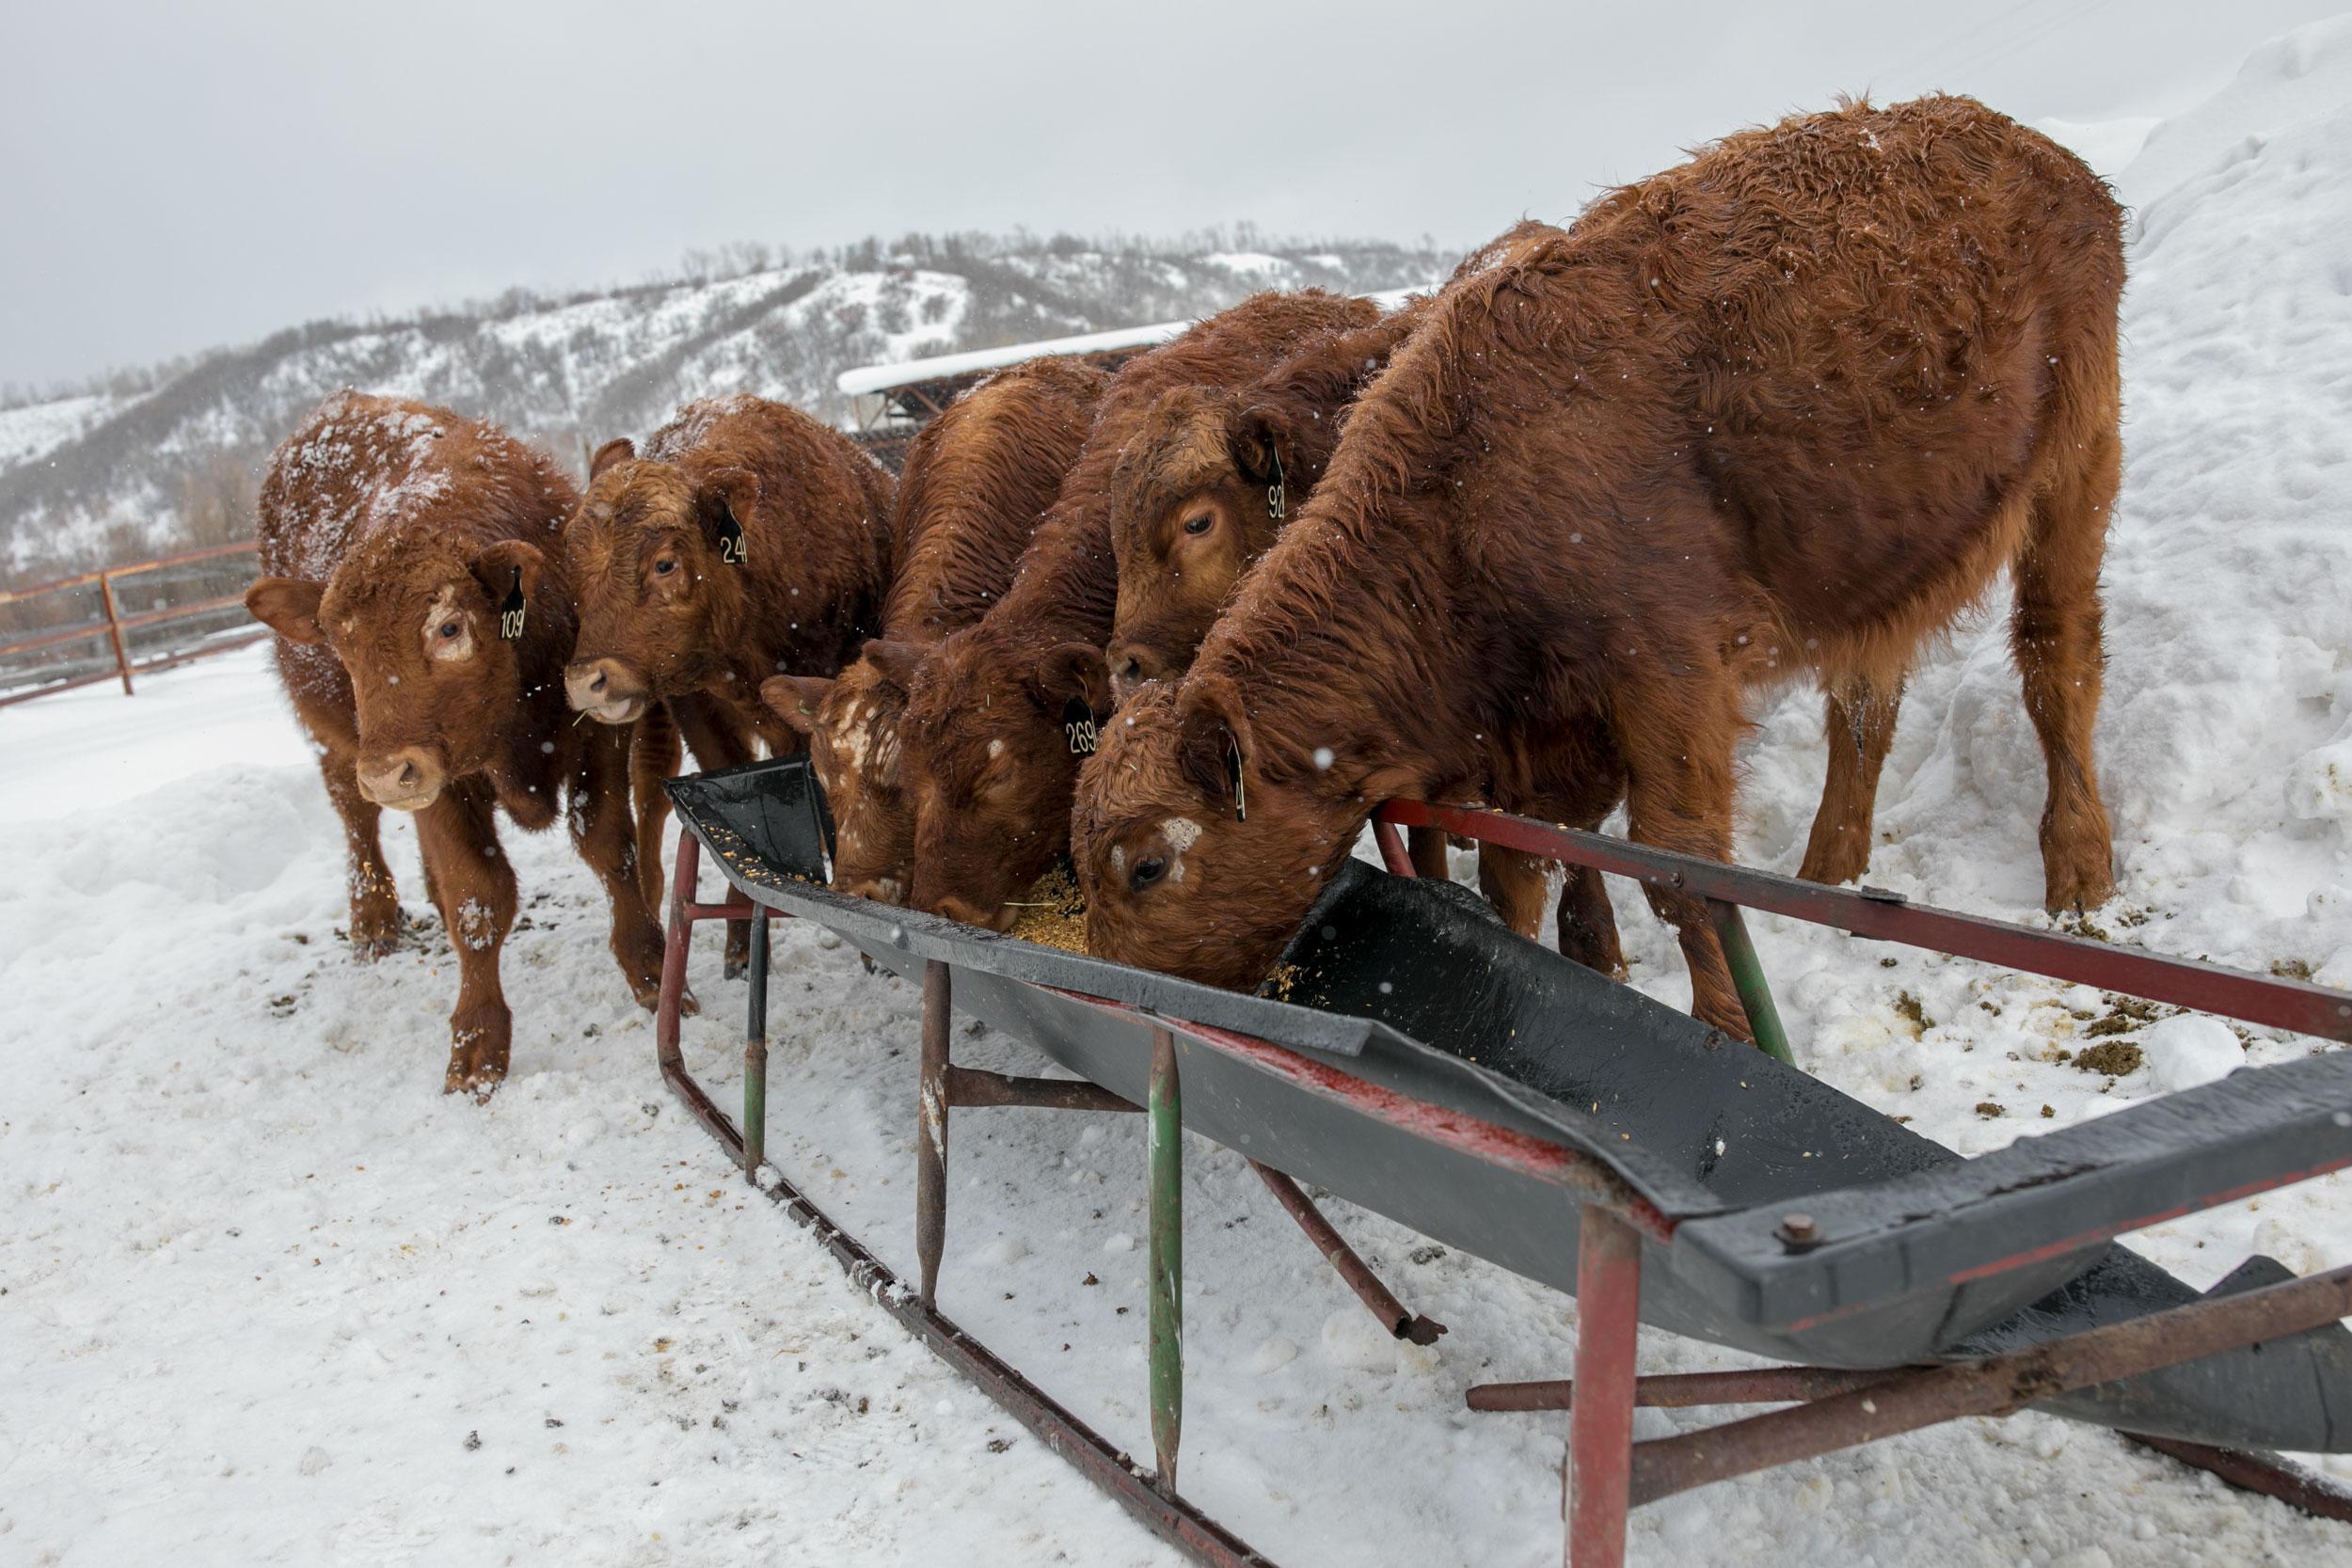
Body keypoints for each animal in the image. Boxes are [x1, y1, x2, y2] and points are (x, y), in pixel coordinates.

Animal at [1082, 95, 2136, 1029]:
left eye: (1148, 864)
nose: (1116, 987)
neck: (1460, 493)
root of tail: (2042, 154)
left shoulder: (1666, 675)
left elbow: (1679, 869)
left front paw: (1727, 1028)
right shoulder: (1529, 741)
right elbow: (1518, 868)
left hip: (2076, 461)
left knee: (2059, 655)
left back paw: (2080, 871)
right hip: (1873, 558)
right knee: (1866, 704)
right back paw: (1828, 872)